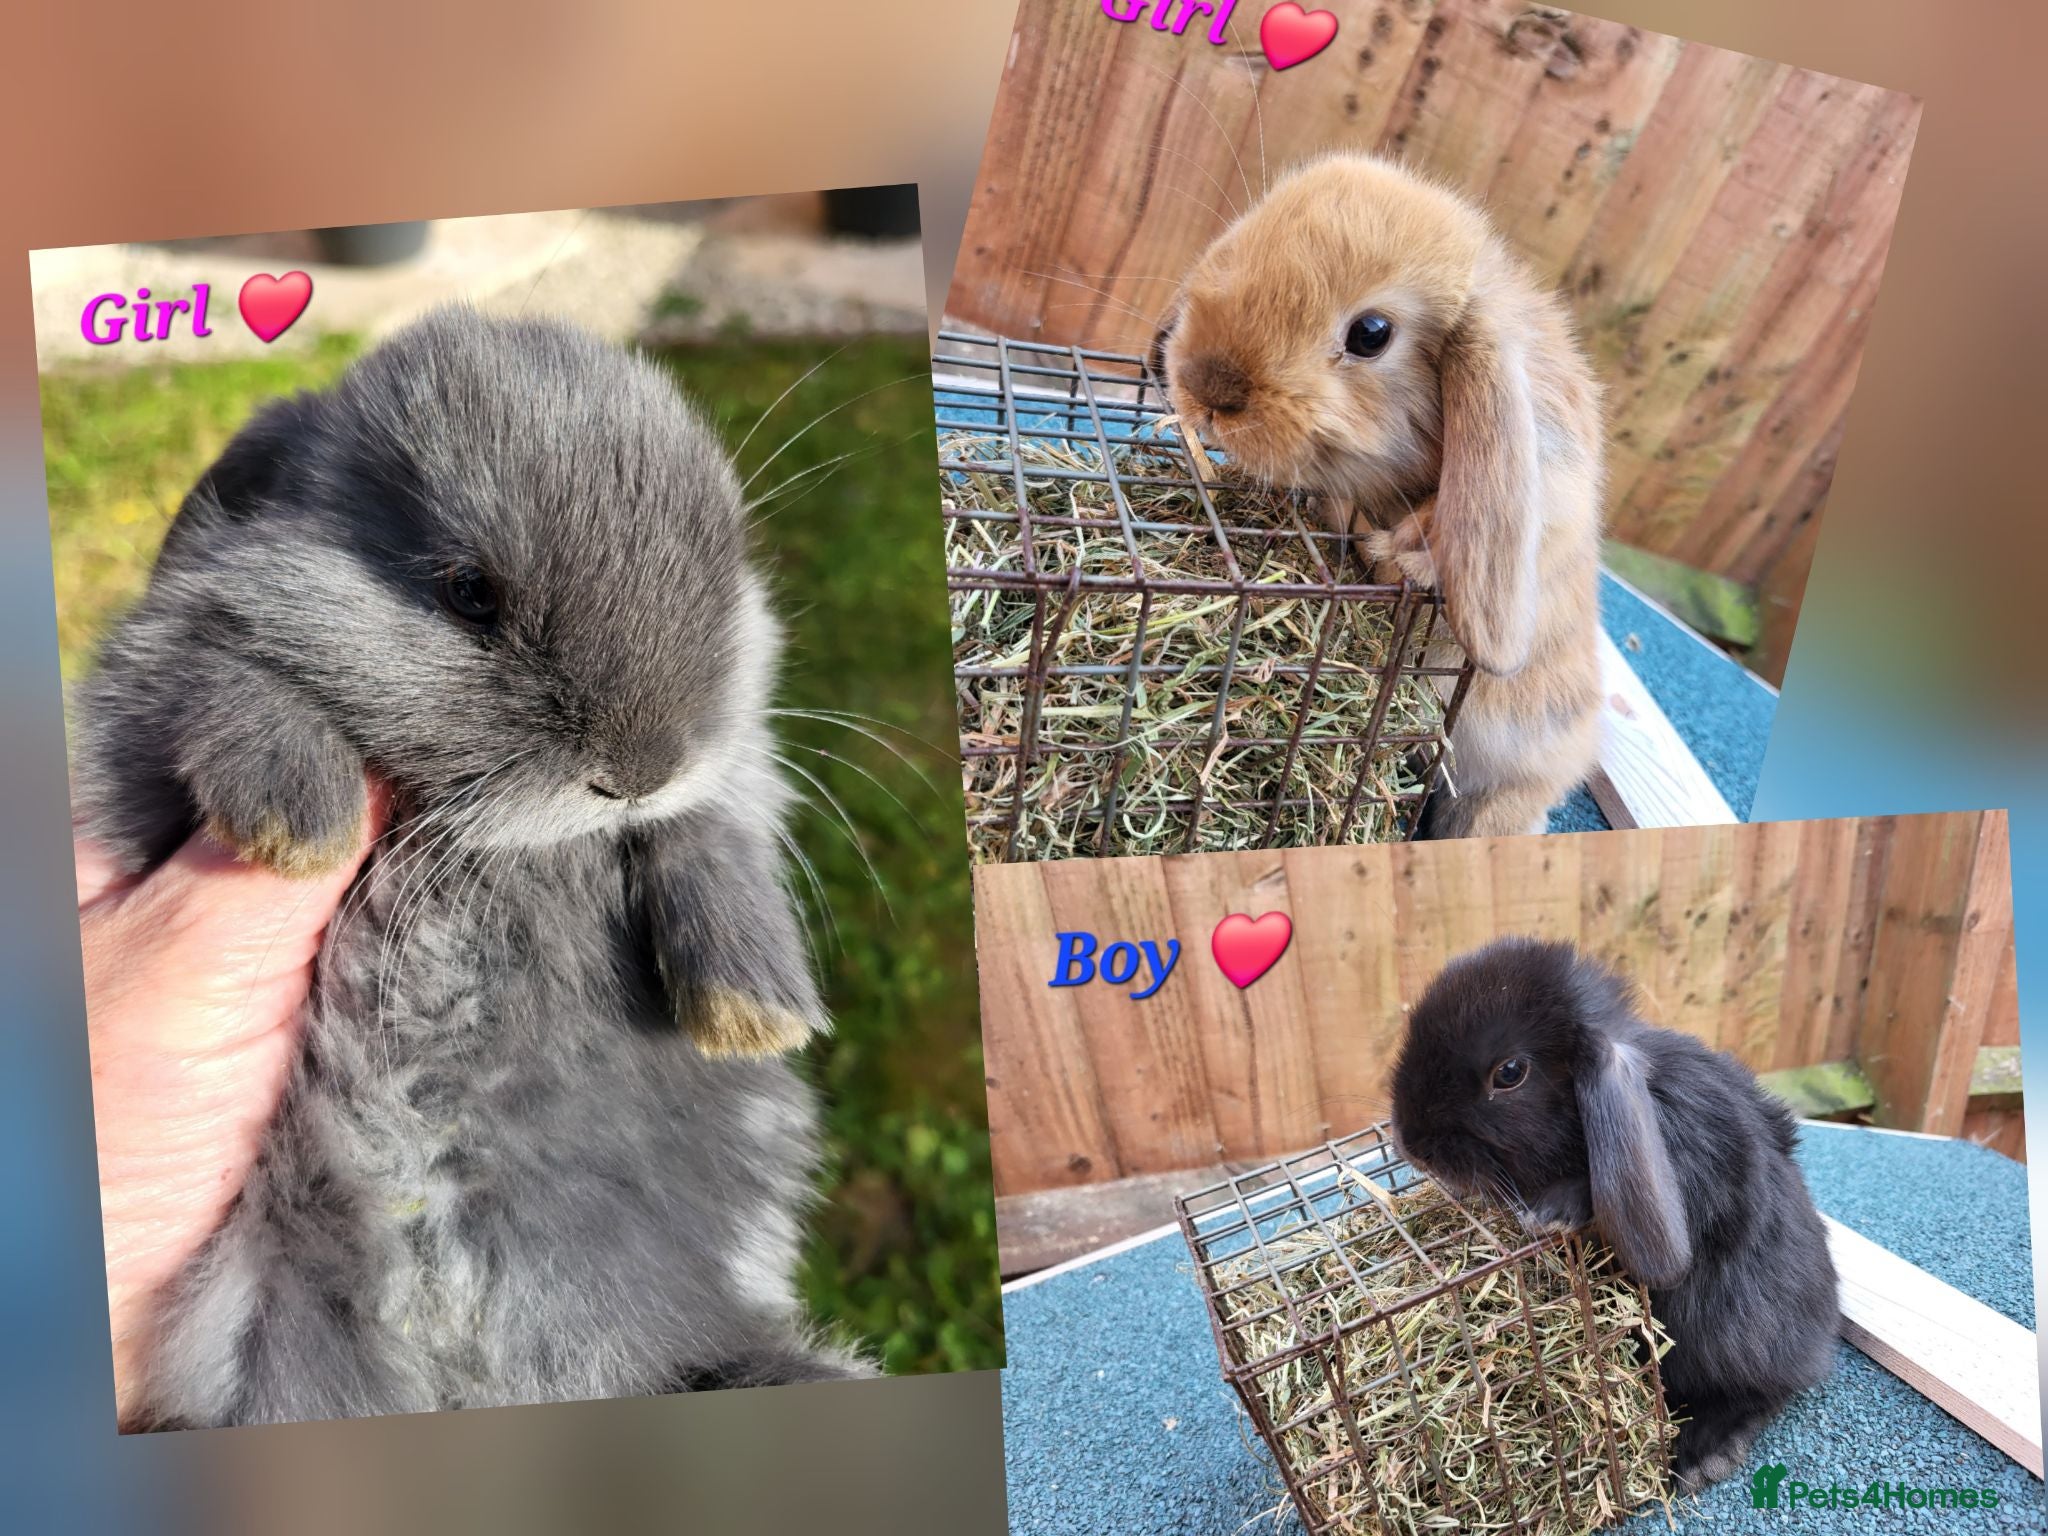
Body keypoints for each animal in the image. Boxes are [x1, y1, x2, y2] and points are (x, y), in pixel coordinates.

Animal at [70, 307, 871, 1429]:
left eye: (729, 569)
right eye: (469, 594)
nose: (642, 769)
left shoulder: (728, 782)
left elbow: (706, 838)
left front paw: (756, 1011)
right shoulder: (152, 702)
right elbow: (230, 672)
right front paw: (296, 820)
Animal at [1388, 938, 1839, 1491]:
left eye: (1509, 1073)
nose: (1411, 1144)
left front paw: (1549, 1212)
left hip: (1730, 1335)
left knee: (1765, 1388)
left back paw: (1703, 1452)